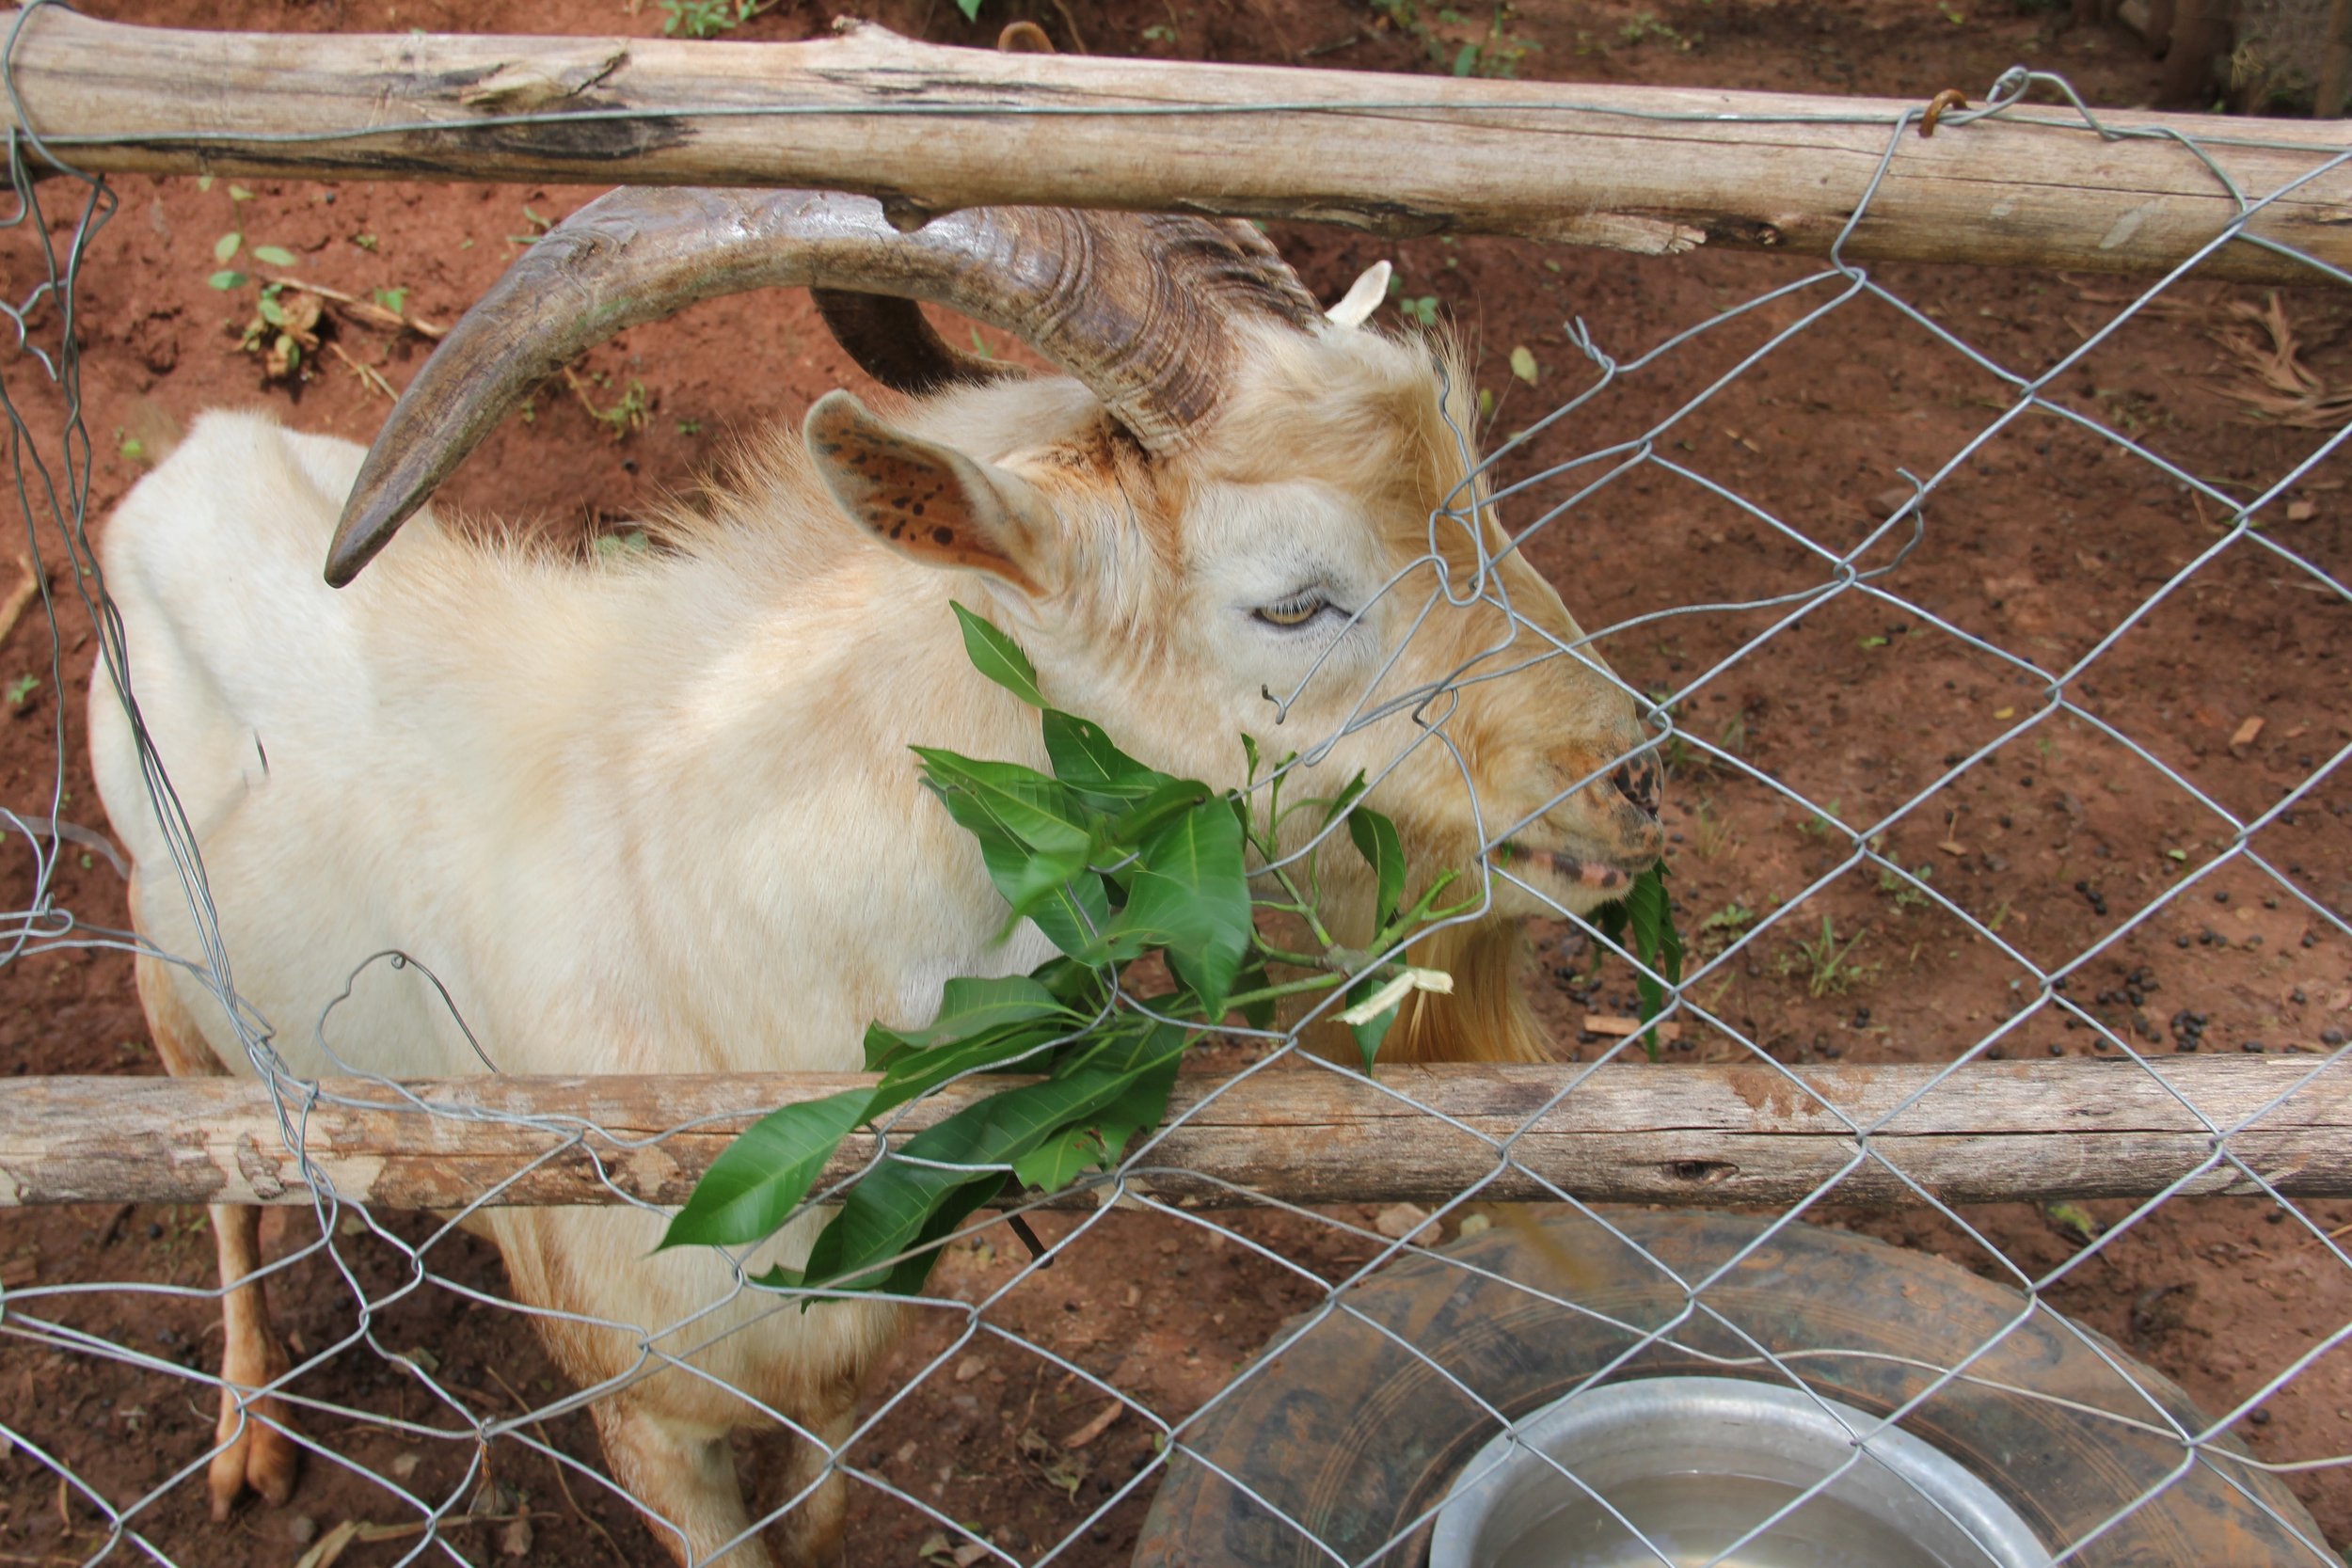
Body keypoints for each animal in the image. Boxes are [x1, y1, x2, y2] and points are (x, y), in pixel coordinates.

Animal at [89, 185, 1664, 1566]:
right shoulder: (644, 1396)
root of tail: (192, 450)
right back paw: (246, 1434)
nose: (1632, 778)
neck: (707, 936)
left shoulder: (841, 1357)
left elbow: (827, 1509)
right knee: (221, 1183)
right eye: (1291, 599)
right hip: (174, 989)